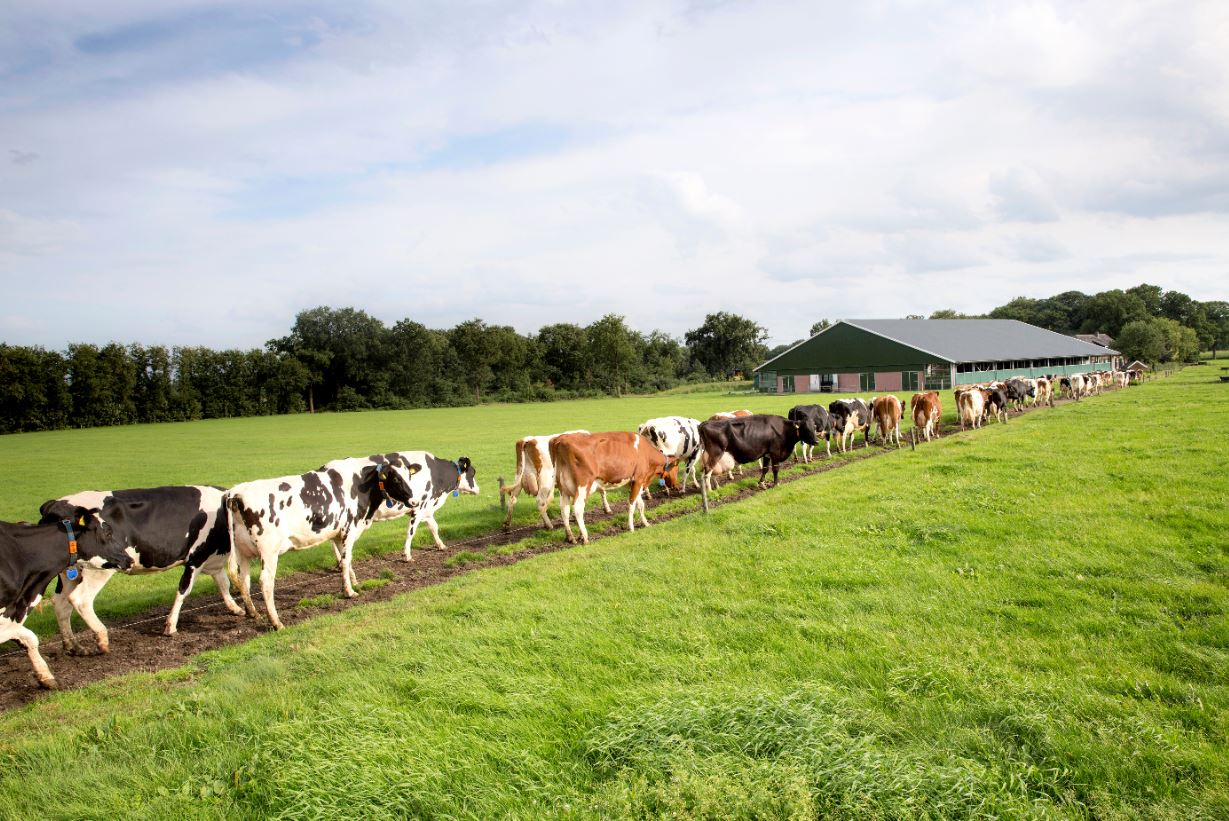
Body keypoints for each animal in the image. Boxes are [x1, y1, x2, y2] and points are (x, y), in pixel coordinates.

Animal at [38, 486, 245, 655]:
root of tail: (54, 504)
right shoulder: (196, 558)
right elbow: (184, 590)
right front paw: (171, 626)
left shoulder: (212, 559)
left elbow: (223, 584)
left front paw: (235, 608)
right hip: (99, 569)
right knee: (80, 599)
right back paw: (102, 638)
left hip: (69, 573)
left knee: (61, 603)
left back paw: (72, 645)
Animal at [224, 458, 419, 630]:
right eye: (396, 478)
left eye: (409, 475)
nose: (415, 501)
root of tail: (236, 492)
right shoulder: (349, 529)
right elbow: (346, 560)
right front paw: (349, 591)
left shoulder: (339, 534)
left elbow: (345, 561)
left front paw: (353, 582)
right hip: (269, 550)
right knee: (265, 582)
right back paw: (276, 622)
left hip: (243, 551)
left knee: (244, 579)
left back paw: (252, 613)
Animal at [321, 452, 478, 562]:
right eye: (473, 473)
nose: (478, 489)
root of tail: (325, 467)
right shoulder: (419, 507)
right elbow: (411, 532)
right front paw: (407, 555)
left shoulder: (426, 509)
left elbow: (434, 527)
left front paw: (441, 545)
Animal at [549, 432, 679, 545]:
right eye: (676, 469)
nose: (676, 485)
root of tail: (561, 438)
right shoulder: (638, 479)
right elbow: (632, 504)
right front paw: (631, 527)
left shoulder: (635, 482)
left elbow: (640, 504)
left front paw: (646, 523)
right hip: (583, 485)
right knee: (577, 508)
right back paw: (585, 537)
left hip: (563, 489)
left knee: (564, 510)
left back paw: (570, 537)